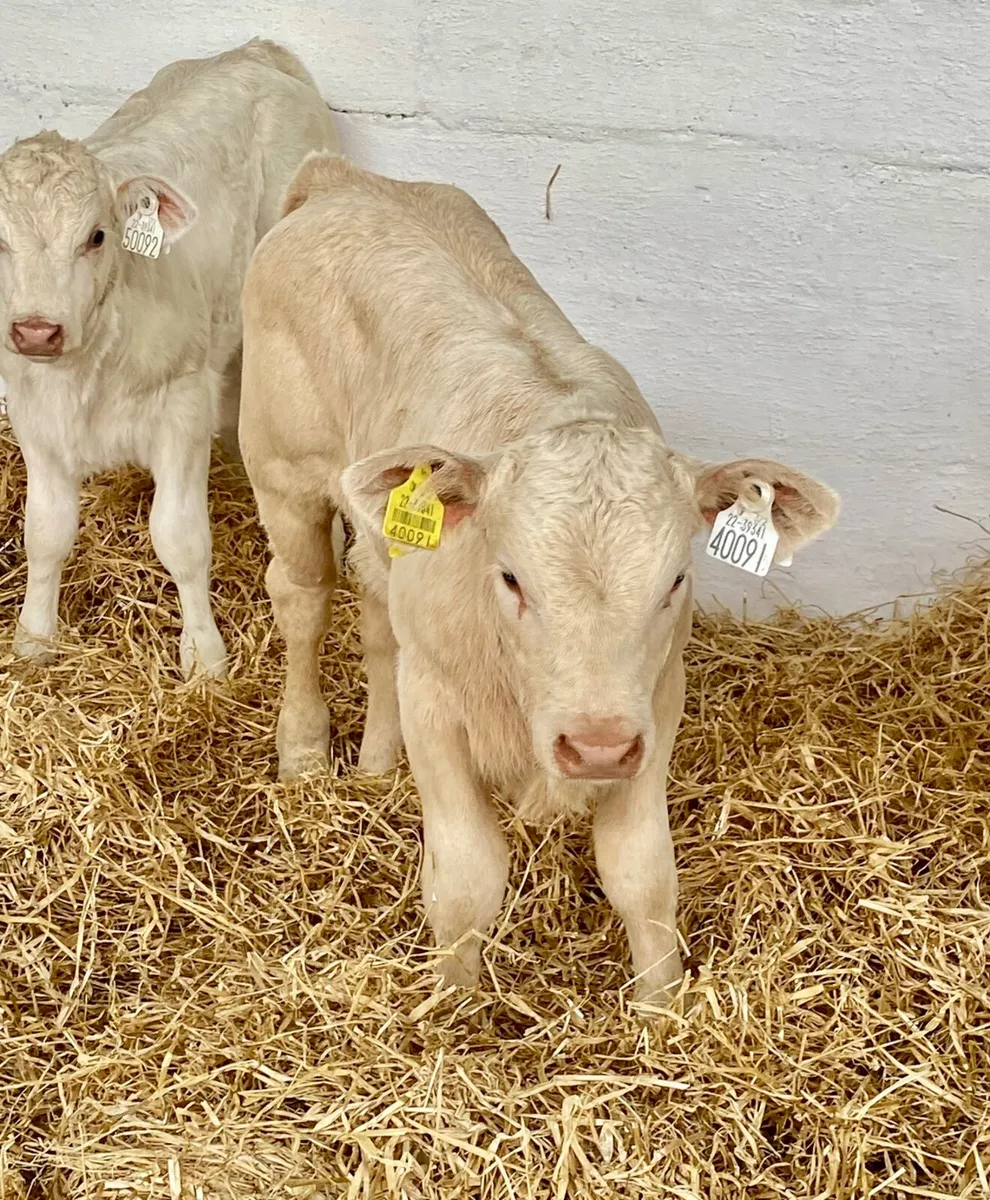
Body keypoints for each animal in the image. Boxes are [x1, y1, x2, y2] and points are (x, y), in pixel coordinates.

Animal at [0, 39, 337, 678]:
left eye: (97, 236)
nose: (36, 330)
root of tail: (257, 51)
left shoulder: (182, 408)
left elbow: (180, 539)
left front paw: (204, 657)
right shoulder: (33, 414)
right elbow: (46, 531)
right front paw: (33, 638)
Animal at [239, 154, 840, 1004]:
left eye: (675, 580)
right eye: (512, 578)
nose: (594, 747)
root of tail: (345, 180)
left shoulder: (655, 703)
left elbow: (642, 875)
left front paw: (661, 1010)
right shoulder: (438, 706)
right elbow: (467, 878)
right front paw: (452, 1004)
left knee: (376, 613)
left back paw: (376, 759)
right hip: (282, 468)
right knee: (302, 600)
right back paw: (303, 754)